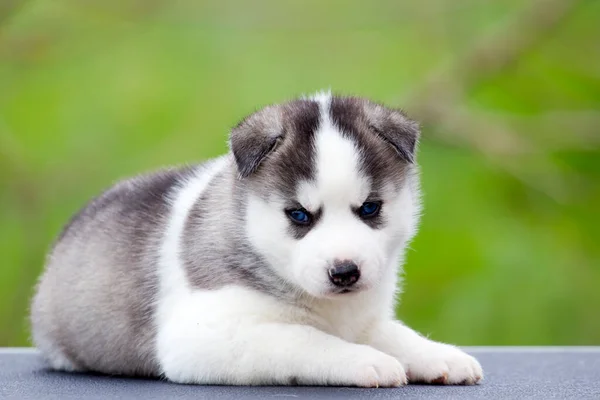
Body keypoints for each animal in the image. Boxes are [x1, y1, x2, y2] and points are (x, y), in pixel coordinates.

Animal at [31, 92, 482, 386]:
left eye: (370, 208)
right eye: (299, 215)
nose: (345, 273)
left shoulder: (364, 317)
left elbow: (395, 332)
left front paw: (440, 355)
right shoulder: (203, 334)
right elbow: (304, 339)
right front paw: (366, 360)